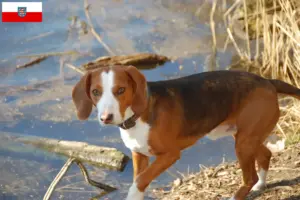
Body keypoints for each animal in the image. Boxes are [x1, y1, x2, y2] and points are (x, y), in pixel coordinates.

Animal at [72, 65, 300, 199]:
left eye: (120, 90)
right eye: (95, 92)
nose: (106, 118)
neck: (138, 115)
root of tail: (267, 81)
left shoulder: (170, 155)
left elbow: (139, 181)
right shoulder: (139, 154)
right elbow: (139, 179)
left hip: (243, 143)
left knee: (249, 176)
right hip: (245, 138)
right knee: (266, 155)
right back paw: (261, 185)